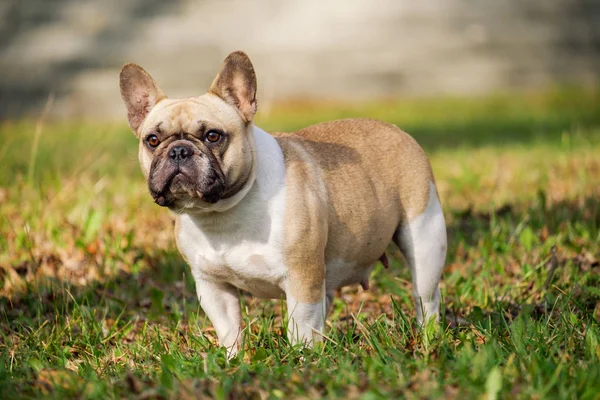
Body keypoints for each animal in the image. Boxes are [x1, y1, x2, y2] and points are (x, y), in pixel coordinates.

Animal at [118, 50, 446, 356]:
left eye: (212, 136)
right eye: (152, 140)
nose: (179, 151)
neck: (222, 214)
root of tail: (398, 130)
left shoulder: (302, 278)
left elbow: (300, 327)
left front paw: (301, 359)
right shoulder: (212, 286)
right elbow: (229, 329)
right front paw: (233, 360)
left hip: (425, 241)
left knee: (426, 299)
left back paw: (427, 339)